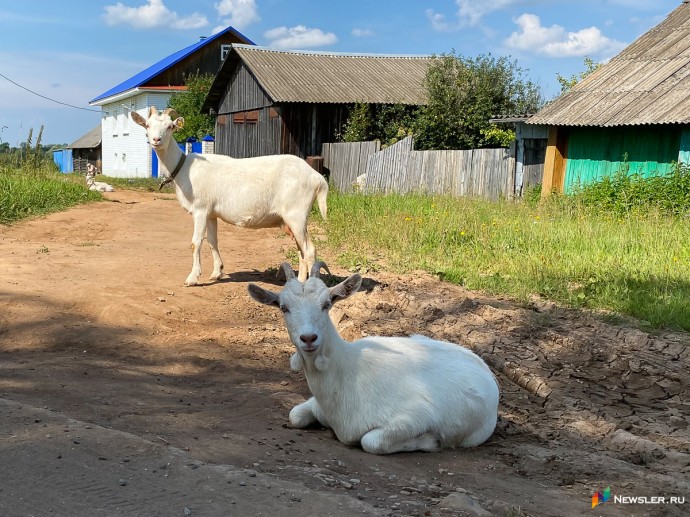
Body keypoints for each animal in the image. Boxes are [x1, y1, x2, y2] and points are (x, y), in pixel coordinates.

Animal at [134, 104, 330, 282]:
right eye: (148, 125)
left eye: (170, 126)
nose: (156, 140)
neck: (184, 168)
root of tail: (317, 177)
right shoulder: (211, 213)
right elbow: (212, 241)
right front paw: (217, 273)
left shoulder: (200, 209)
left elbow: (196, 242)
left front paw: (192, 277)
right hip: (292, 219)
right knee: (301, 249)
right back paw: (300, 282)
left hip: (296, 213)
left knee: (309, 250)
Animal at [247, 264, 494, 454]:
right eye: (283, 307)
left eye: (327, 304)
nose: (309, 338)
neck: (346, 374)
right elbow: (295, 415)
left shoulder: (415, 416)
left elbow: (370, 442)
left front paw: (430, 441)